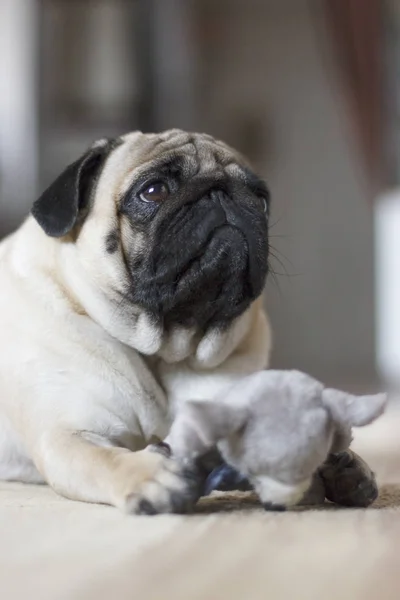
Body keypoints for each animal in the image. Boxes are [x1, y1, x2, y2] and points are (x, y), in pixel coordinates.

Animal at [0, 129, 274, 512]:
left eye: (261, 201)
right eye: (153, 191)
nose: (220, 193)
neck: (165, 347)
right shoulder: (67, 435)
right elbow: (106, 460)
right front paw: (152, 475)